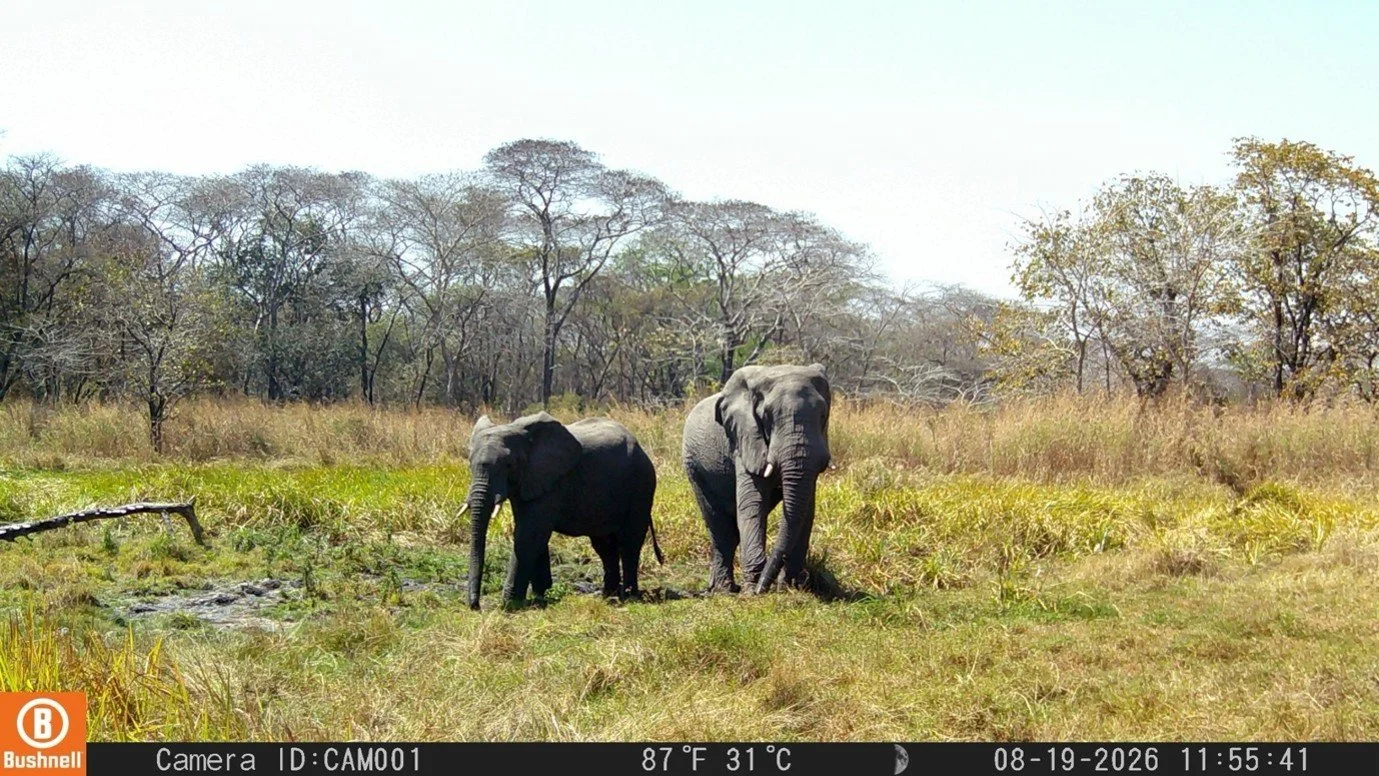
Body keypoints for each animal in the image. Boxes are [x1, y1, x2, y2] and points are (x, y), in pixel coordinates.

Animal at [461, 411, 662, 610]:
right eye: (469, 463)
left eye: (510, 465)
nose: (476, 606)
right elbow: (534, 535)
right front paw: (540, 596)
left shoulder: (551, 483)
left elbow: (528, 535)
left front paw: (510, 604)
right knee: (604, 545)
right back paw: (607, 595)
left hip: (642, 485)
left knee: (630, 542)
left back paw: (629, 596)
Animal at [682, 363, 832, 594]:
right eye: (767, 416)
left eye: (823, 414)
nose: (764, 588)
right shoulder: (744, 438)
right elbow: (753, 503)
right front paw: (753, 588)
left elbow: (807, 511)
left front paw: (790, 587)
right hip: (694, 468)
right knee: (720, 527)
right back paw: (724, 590)